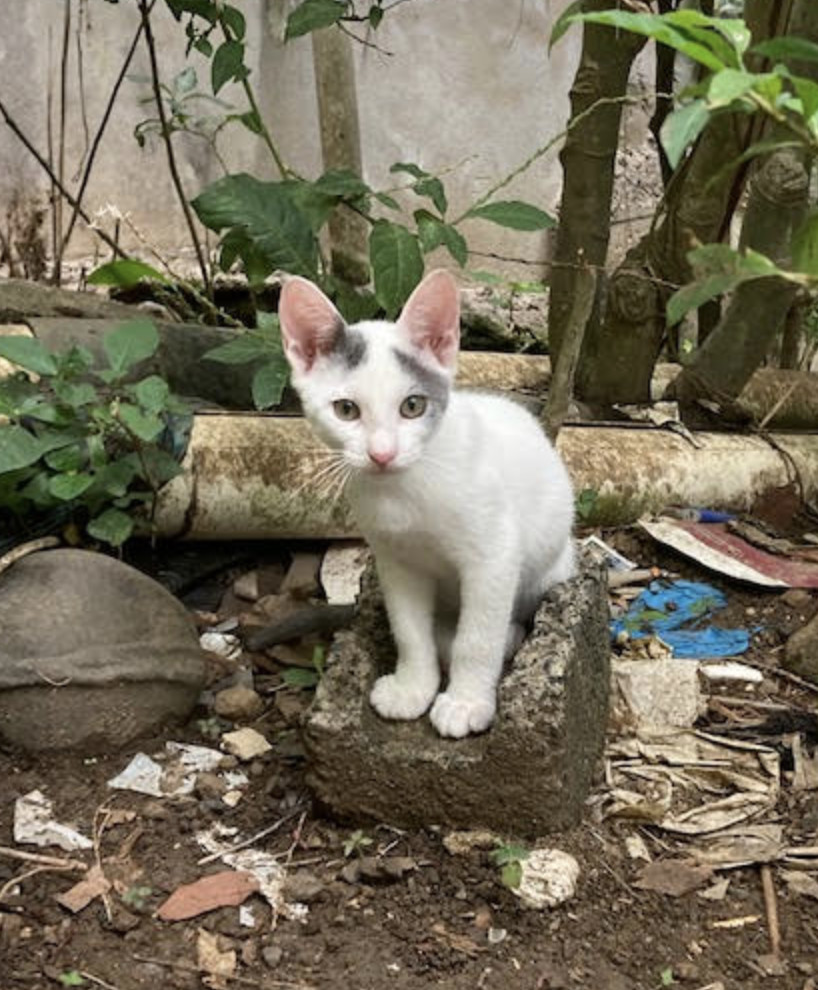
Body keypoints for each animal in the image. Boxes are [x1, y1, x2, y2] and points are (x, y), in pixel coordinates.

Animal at [278, 270, 572, 736]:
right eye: (346, 410)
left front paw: (466, 703)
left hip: (551, 570)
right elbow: (409, 630)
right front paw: (412, 688)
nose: (382, 454)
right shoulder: (395, 561)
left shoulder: (495, 556)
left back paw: (509, 636)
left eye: (413, 406)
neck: (404, 493)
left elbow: (478, 636)